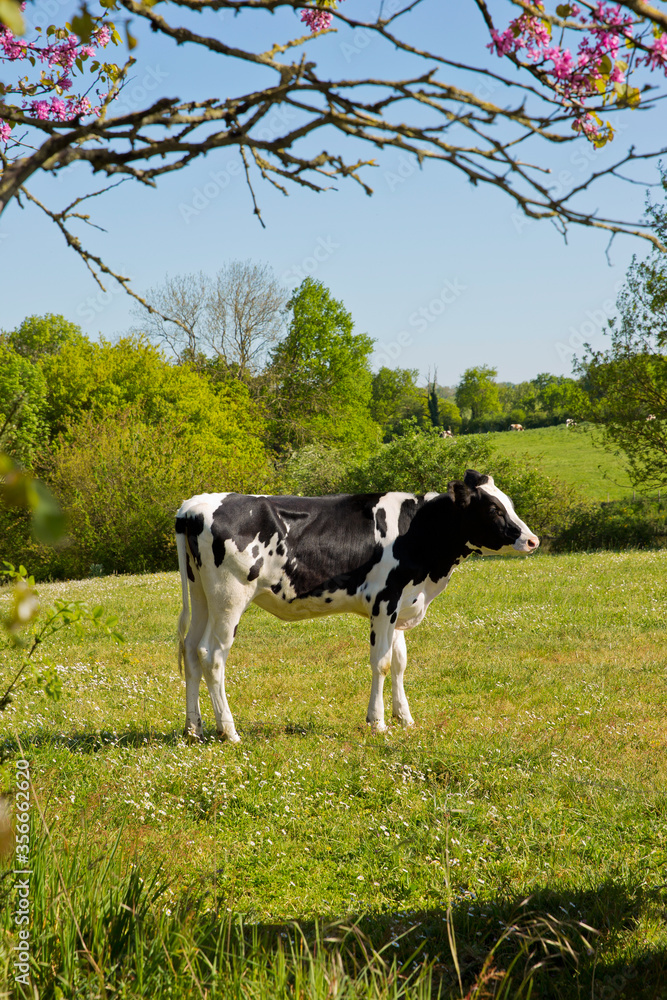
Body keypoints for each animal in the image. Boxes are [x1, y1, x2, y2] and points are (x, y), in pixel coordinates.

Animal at [175, 470, 540, 744]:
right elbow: (381, 663)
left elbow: (400, 662)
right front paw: (377, 722)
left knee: (191, 650)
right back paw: (229, 731)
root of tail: (193, 506)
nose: (532, 540)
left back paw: (194, 728)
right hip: (229, 597)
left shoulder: (401, 603)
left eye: (508, 503)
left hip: (201, 593)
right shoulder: (384, 601)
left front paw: (405, 718)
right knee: (213, 655)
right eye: (493, 509)